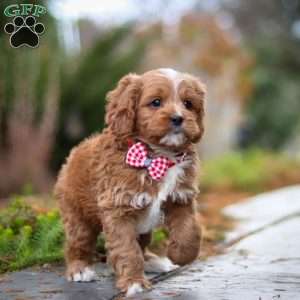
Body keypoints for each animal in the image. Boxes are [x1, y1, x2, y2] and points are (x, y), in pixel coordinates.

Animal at [54, 67, 206, 296]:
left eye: (188, 104)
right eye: (156, 102)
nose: (178, 118)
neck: (159, 155)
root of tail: (71, 156)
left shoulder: (181, 198)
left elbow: (189, 230)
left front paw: (181, 254)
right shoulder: (119, 208)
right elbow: (127, 249)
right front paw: (134, 282)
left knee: (142, 244)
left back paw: (153, 261)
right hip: (77, 214)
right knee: (78, 243)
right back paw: (79, 269)